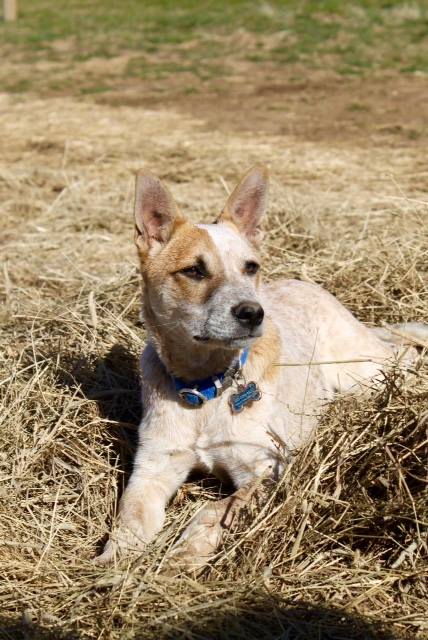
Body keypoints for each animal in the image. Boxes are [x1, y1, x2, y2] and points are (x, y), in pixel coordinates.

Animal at [98, 165, 428, 564]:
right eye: (194, 271)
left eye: (250, 267)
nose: (254, 313)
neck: (206, 386)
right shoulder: (153, 468)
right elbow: (128, 518)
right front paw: (112, 564)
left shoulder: (266, 468)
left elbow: (214, 509)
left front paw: (184, 554)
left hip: (361, 369)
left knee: (405, 356)